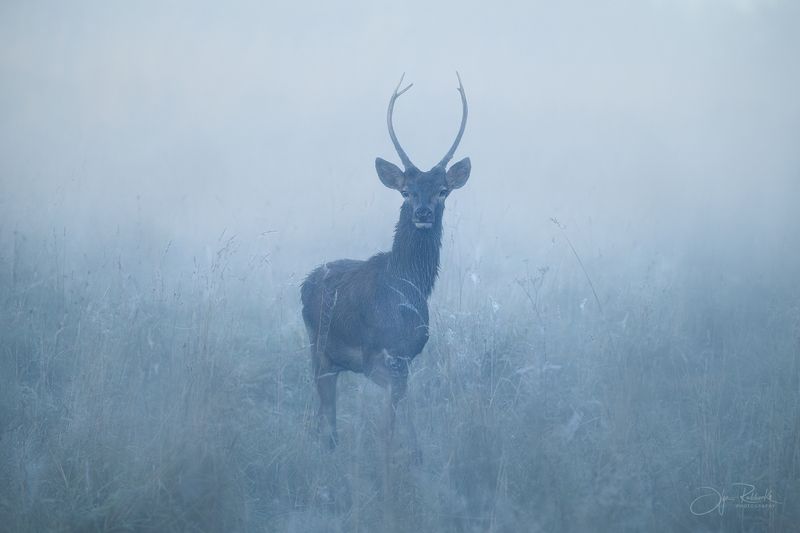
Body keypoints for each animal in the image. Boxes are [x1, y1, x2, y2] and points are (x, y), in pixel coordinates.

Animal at [300, 73, 471, 457]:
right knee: (327, 413)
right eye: (406, 191)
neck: (406, 286)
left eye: (442, 190)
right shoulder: (378, 356)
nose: (422, 212)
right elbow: (393, 417)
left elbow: (401, 414)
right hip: (318, 348)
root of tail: (304, 281)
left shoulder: (406, 356)